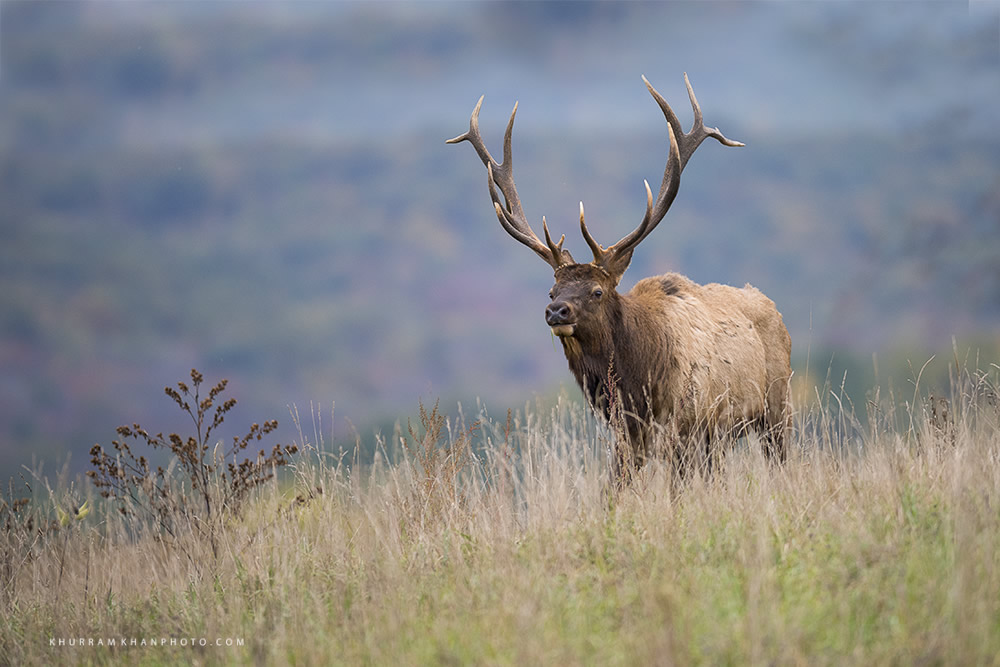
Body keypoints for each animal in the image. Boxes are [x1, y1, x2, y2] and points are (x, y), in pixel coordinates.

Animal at [450, 74, 792, 486]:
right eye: (551, 289)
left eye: (597, 291)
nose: (556, 312)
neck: (637, 382)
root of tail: (774, 309)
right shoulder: (627, 436)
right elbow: (615, 488)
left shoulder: (684, 427)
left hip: (777, 408)